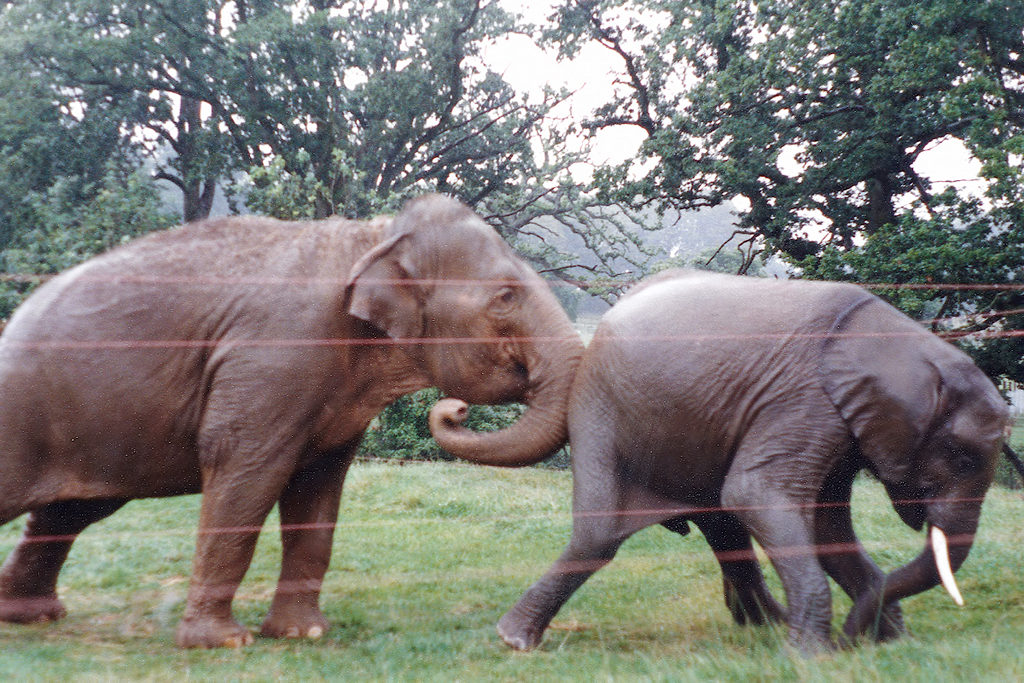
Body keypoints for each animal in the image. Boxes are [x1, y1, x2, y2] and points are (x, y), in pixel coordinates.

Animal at [0, 194, 584, 648]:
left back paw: (33, 617)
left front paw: (304, 634)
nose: (453, 408)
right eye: (506, 295)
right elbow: (246, 472)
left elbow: (318, 490)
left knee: (74, 511)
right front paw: (223, 644)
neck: (373, 236)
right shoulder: (273, 359)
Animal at [496, 269, 1009, 655]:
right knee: (600, 534)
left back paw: (766, 626)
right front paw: (811, 657)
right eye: (960, 455)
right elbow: (756, 494)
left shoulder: (835, 420)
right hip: (600, 405)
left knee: (723, 524)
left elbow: (823, 527)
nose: (849, 641)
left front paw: (891, 646)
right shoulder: (805, 401)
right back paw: (514, 640)